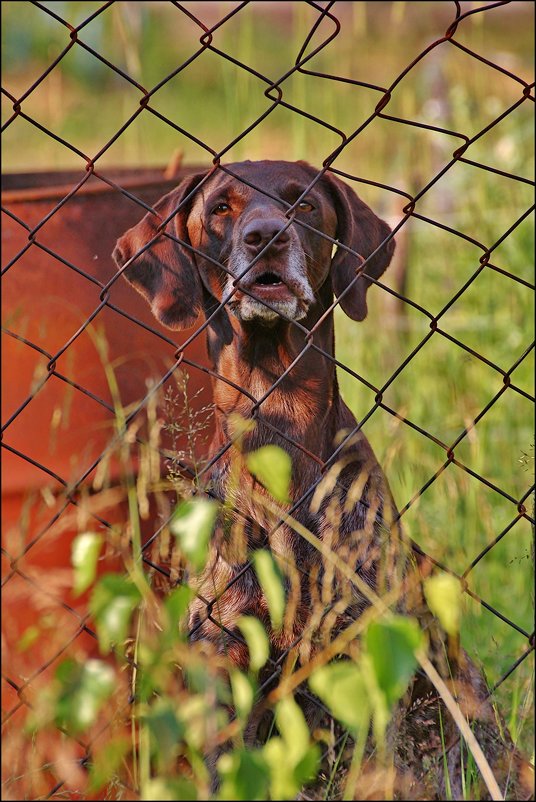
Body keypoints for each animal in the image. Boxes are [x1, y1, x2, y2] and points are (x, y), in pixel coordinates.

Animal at [113, 159, 532, 796]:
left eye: (304, 204)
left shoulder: (367, 657)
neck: (280, 429)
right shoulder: (224, 663)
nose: (266, 237)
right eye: (221, 208)